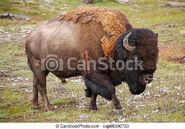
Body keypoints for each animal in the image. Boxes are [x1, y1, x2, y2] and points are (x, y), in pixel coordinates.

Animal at [25, 7, 159, 114]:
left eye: (156, 56)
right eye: (136, 57)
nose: (148, 78)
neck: (113, 46)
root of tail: (30, 36)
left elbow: (94, 91)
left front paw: (93, 108)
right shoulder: (94, 73)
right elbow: (110, 89)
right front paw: (117, 108)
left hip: (41, 69)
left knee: (35, 82)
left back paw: (35, 105)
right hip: (38, 67)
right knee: (42, 86)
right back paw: (49, 108)